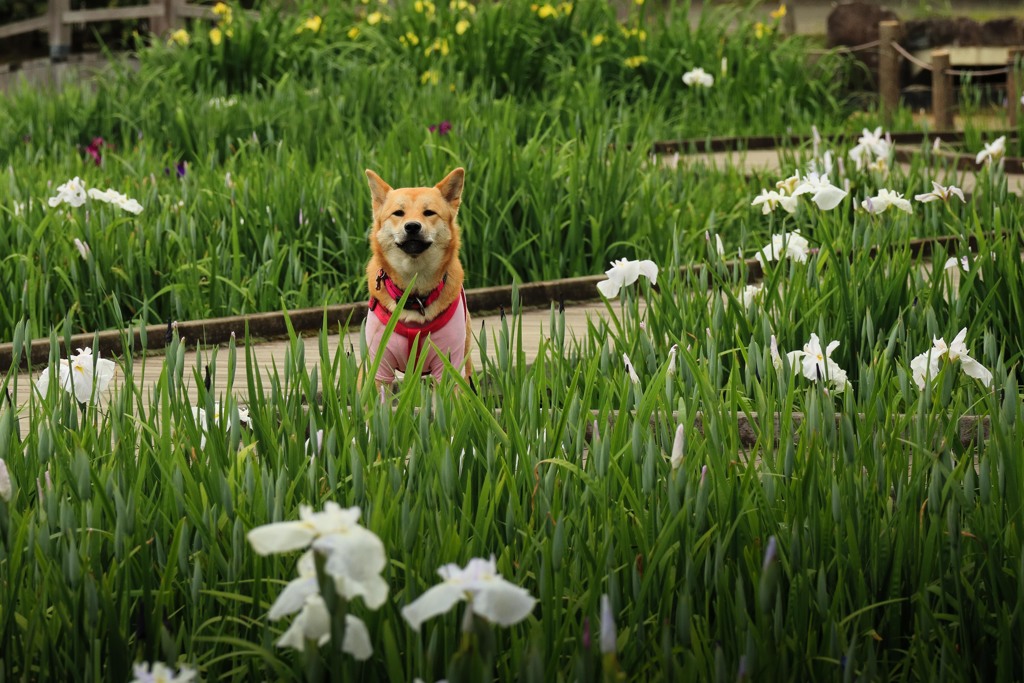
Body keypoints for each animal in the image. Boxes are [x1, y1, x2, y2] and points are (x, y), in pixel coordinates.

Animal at [364, 167, 471, 387]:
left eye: (429, 212)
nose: (412, 226)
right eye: (398, 213)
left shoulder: (449, 363)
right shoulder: (379, 365)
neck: (414, 296)